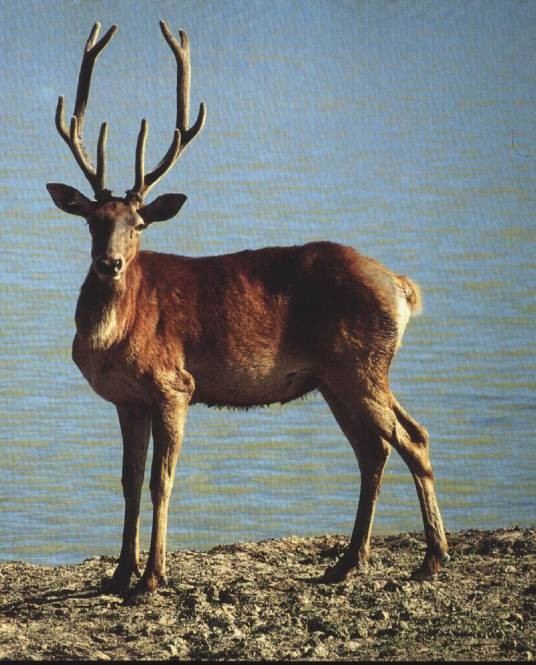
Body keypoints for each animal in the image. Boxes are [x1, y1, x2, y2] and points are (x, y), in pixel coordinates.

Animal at [46, 21, 449, 597]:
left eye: (139, 223)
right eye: (91, 220)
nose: (110, 263)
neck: (112, 338)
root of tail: (401, 286)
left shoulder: (174, 384)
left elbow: (161, 480)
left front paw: (152, 577)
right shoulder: (128, 399)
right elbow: (127, 480)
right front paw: (118, 573)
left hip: (359, 365)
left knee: (410, 439)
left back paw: (432, 557)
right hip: (338, 378)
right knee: (377, 449)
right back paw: (348, 561)